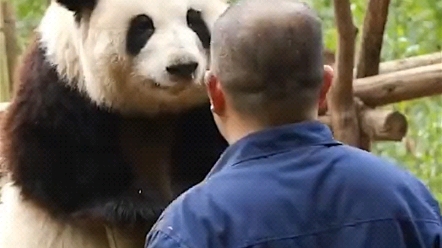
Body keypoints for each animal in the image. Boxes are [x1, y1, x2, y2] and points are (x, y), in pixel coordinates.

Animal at [0, 0, 228, 246]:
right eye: (143, 25)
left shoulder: (205, 103)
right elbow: (51, 150)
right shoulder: (62, 80)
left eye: (194, 20)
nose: (183, 66)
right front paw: (132, 206)